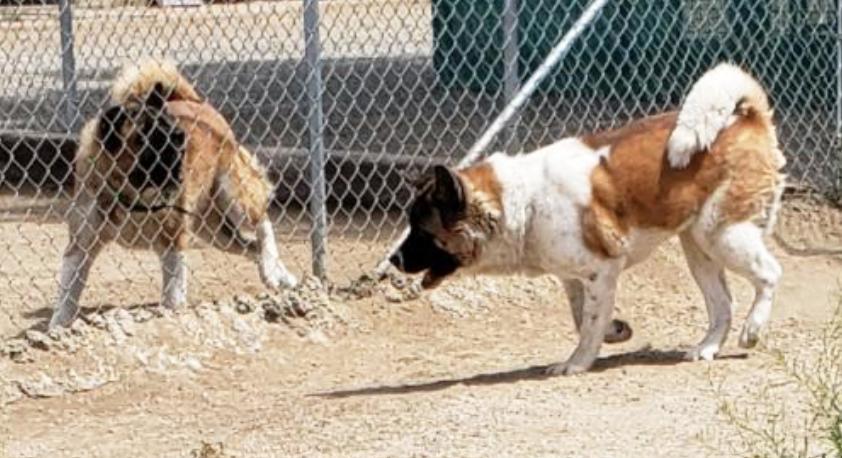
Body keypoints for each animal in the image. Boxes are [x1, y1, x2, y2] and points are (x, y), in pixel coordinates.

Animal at [50, 59, 298, 330]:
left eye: (175, 135)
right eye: (147, 139)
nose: (180, 138)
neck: (130, 196)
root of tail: (192, 100)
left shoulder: (173, 241)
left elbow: (173, 292)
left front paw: (173, 314)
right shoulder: (80, 246)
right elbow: (67, 293)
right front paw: (57, 327)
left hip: (235, 198)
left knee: (263, 223)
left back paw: (273, 271)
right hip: (212, 230)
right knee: (252, 246)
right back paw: (278, 273)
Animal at [390, 65, 784, 380]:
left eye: (421, 231)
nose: (393, 259)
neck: (523, 203)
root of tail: (746, 116)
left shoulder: (603, 269)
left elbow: (589, 325)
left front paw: (576, 363)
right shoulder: (574, 279)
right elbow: (583, 316)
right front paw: (615, 330)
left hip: (720, 234)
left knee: (769, 274)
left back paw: (753, 329)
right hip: (698, 248)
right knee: (723, 304)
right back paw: (707, 347)